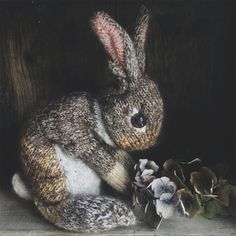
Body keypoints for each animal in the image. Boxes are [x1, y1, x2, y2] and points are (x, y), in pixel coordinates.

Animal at [11, 6, 164, 232]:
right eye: (139, 121)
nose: (151, 143)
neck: (100, 112)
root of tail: (31, 191)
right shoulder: (73, 128)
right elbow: (94, 152)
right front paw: (122, 181)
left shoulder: (109, 144)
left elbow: (117, 154)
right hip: (51, 170)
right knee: (54, 206)